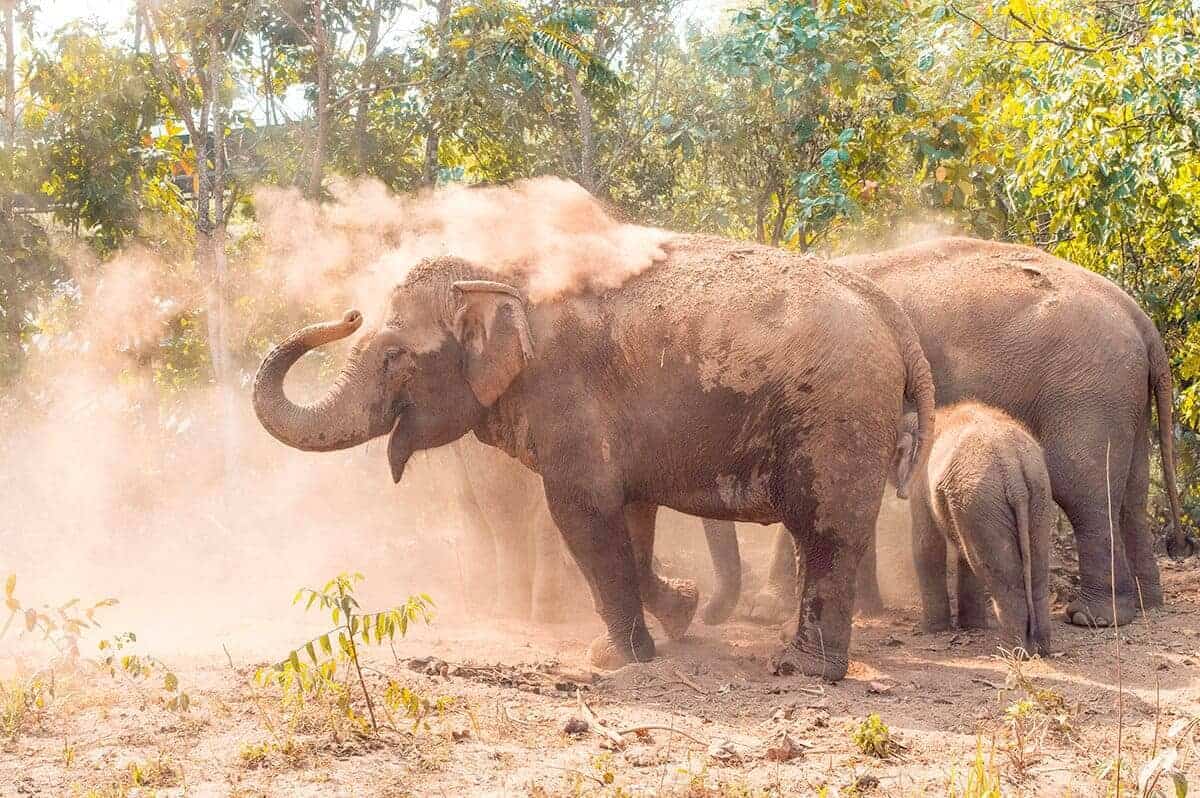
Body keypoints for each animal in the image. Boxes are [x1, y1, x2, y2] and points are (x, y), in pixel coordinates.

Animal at [252, 232, 935, 680]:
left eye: (394, 355)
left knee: (826, 531)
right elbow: (631, 514)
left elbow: (582, 510)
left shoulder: (567, 397)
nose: (347, 312)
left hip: (838, 414)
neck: (500, 272)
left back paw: (801, 669)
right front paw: (679, 614)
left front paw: (612, 660)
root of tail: (893, 316)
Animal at [742, 236, 1191, 629]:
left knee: (1083, 491)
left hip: (1090, 390)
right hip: (1126, 396)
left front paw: (764, 612)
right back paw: (1147, 603)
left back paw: (1093, 618)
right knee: (1131, 494)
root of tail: (1139, 318)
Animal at [895, 402, 1053, 656]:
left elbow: (927, 545)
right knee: (1033, 570)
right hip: (1034, 496)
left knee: (1001, 575)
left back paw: (1011, 651)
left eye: (897, 450)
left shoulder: (920, 484)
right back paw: (1040, 648)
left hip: (982, 499)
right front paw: (972, 626)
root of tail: (1012, 468)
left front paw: (932, 631)